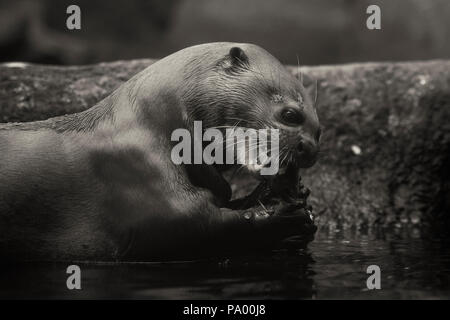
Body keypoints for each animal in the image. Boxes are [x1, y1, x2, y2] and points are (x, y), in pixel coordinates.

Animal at [1, 42, 322, 262]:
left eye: (319, 130)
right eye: (290, 115)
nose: (310, 148)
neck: (157, 125)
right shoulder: (141, 178)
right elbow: (199, 225)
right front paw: (286, 216)